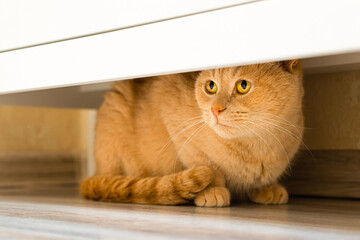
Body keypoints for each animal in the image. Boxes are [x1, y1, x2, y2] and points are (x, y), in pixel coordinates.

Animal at [80, 60, 302, 206]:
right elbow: (207, 164)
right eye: (211, 86)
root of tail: (97, 170)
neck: (255, 145)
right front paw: (213, 190)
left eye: (243, 85)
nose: (215, 110)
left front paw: (267, 187)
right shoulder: (175, 122)